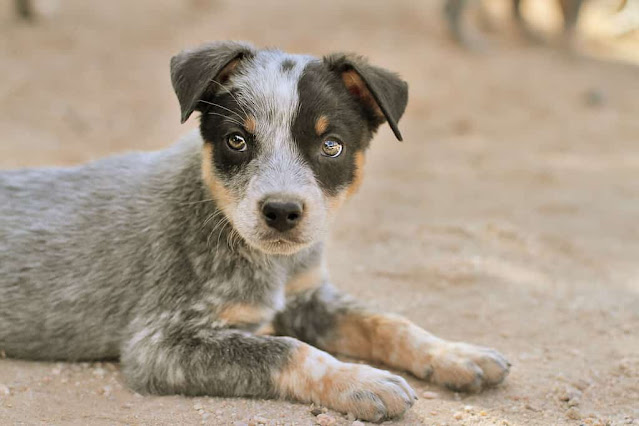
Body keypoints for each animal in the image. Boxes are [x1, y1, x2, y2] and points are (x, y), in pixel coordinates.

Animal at [0, 41, 510, 422]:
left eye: (331, 145)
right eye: (237, 140)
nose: (281, 211)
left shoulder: (307, 296)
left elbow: (387, 322)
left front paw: (455, 353)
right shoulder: (160, 344)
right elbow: (288, 349)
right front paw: (360, 380)